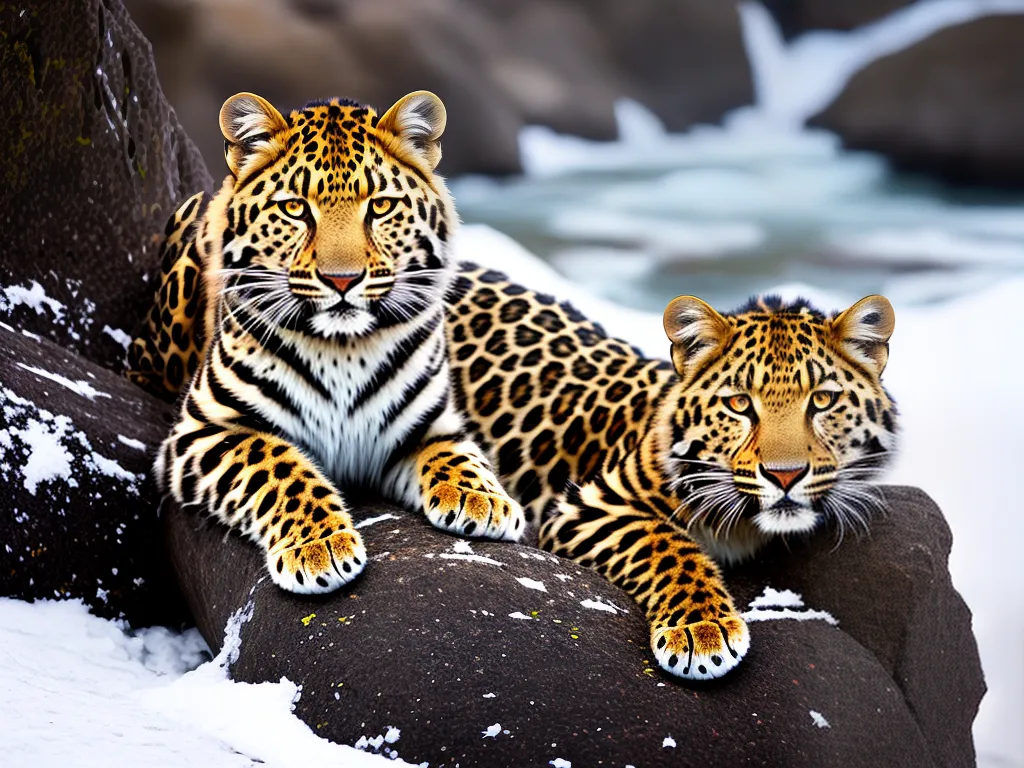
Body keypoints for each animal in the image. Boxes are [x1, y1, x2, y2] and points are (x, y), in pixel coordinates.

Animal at [131, 90, 525, 596]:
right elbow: (276, 464)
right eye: (296, 208)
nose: (342, 280)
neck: (343, 350)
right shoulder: (205, 428)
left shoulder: (427, 426)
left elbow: (460, 456)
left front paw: (483, 499)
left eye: (381, 206)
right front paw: (319, 547)